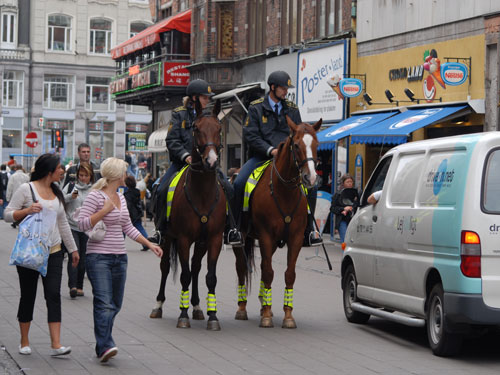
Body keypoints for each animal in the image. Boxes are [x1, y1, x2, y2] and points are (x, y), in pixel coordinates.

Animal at [149, 100, 226, 332]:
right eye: (196, 129)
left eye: (219, 129)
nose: (211, 161)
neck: (202, 194)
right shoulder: (183, 239)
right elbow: (183, 276)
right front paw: (183, 315)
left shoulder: (214, 239)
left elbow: (210, 277)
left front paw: (212, 316)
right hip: (167, 238)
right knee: (166, 267)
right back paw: (158, 305)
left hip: (200, 243)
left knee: (196, 269)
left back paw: (198, 307)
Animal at [233, 115, 322, 328]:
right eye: (296, 145)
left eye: (317, 144)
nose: (310, 178)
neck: (284, 191)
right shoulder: (266, 235)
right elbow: (268, 273)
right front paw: (266, 316)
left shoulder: (295, 238)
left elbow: (289, 274)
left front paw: (287, 316)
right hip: (241, 239)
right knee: (242, 268)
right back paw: (242, 308)